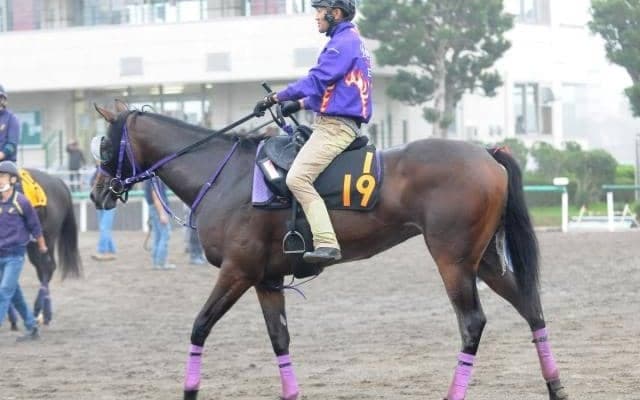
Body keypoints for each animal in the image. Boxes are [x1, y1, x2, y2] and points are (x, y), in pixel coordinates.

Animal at [8, 169, 82, 327]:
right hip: (33, 243)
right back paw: (44, 314)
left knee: (48, 267)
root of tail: (59, 182)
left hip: (46, 237)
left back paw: (41, 312)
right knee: (43, 269)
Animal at [90, 102, 568, 400]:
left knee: (472, 324)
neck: (226, 176)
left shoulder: (237, 272)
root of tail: (486, 153)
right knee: (531, 308)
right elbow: (279, 339)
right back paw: (555, 386)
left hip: (453, 261)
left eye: (103, 145)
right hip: (484, 261)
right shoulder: (266, 280)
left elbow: (199, 328)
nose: (97, 193)